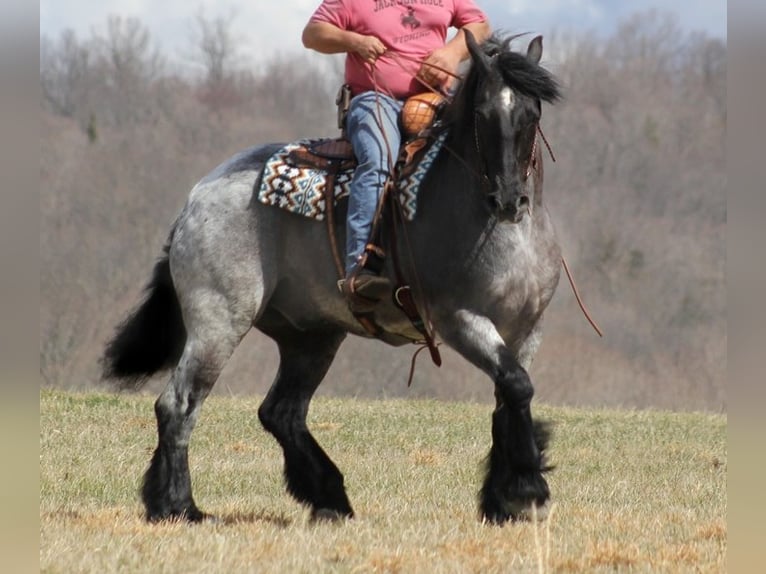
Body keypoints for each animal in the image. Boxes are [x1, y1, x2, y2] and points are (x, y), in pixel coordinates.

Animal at [102, 31, 564, 528]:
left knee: (281, 412)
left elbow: (509, 397)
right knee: (180, 403)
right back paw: (178, 506)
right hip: (218, 322)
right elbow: (516, 386)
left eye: (532, 113)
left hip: (311, 336)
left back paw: (328, 496)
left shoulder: (527, 328)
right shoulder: (460, 319)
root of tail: (198, 197)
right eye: (482, 114)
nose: (509, 199)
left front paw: (503, 500)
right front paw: (527, 489)